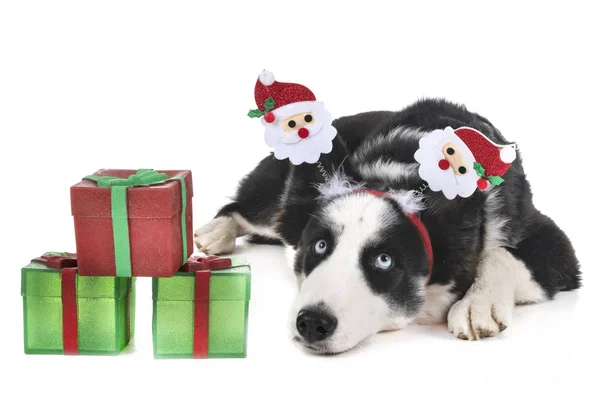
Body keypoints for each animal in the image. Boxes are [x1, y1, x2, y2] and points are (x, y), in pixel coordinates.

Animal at [195, 99, 580, 356]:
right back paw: (216, 231)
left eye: (384, 260)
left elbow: (501, 254)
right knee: (244, 209)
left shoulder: (554, 244)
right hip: (276, 195)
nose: (312, 323)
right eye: (320, 246)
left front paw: (478, 303)